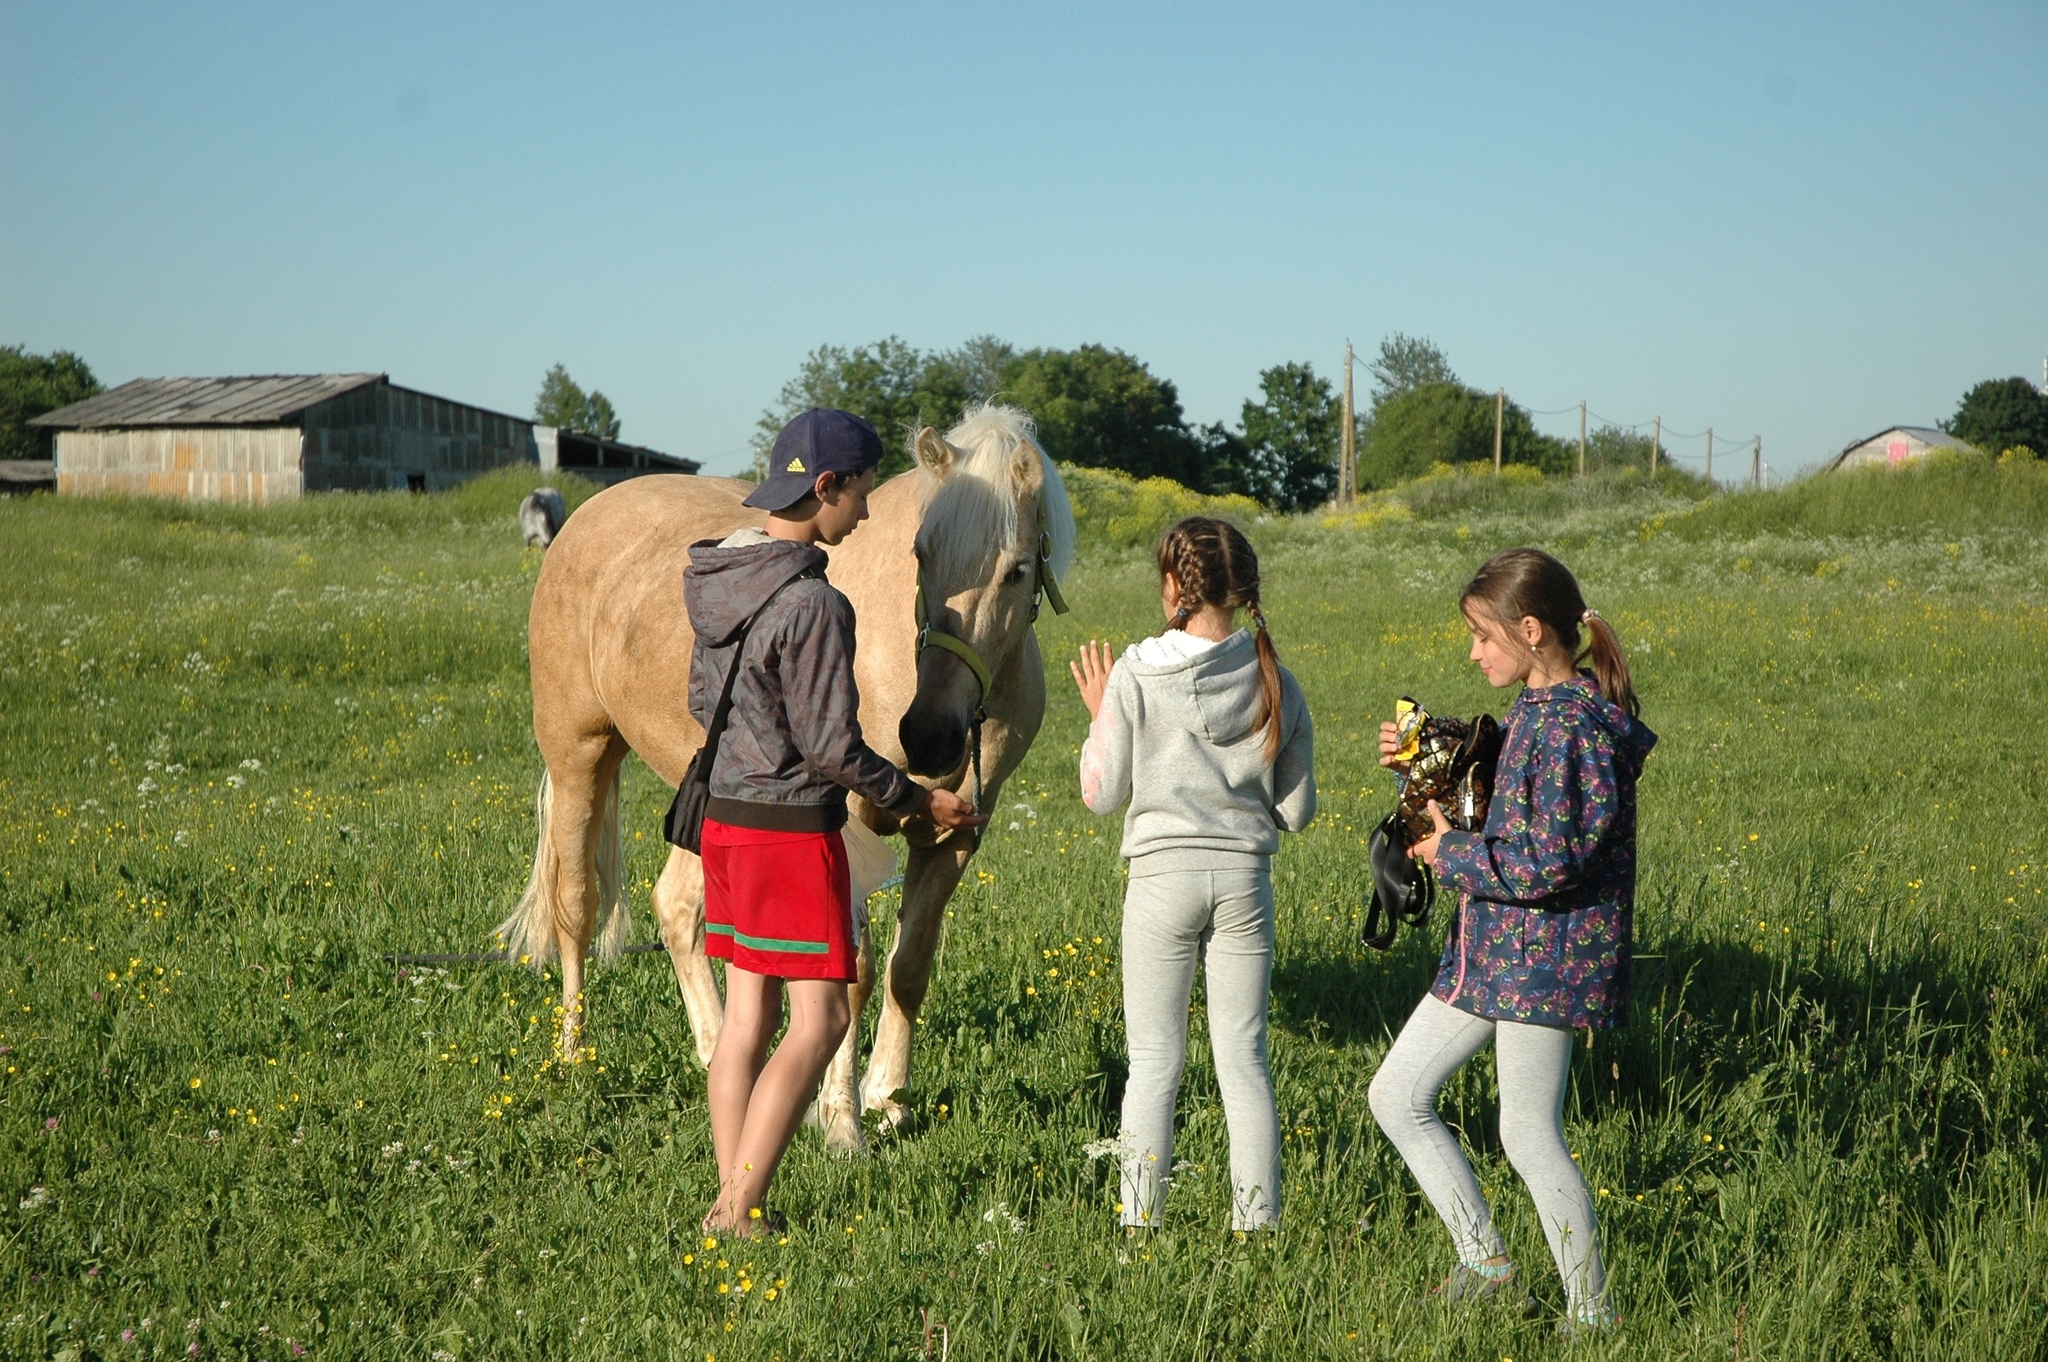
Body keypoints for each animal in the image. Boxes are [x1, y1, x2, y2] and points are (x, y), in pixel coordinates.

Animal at [499, 403, 1073, 1146]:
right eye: (922, 554)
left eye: (1016, 570)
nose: (928, 737)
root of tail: (582, 521)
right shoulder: (849, 828)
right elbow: (853, 971)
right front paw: (841, 1119)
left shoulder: (955, 837)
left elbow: (908, 967)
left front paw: (886, 1095)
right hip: (579, 757)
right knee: (575, 908)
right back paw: (574, 1057)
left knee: (676, 908)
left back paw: (720, 1056)